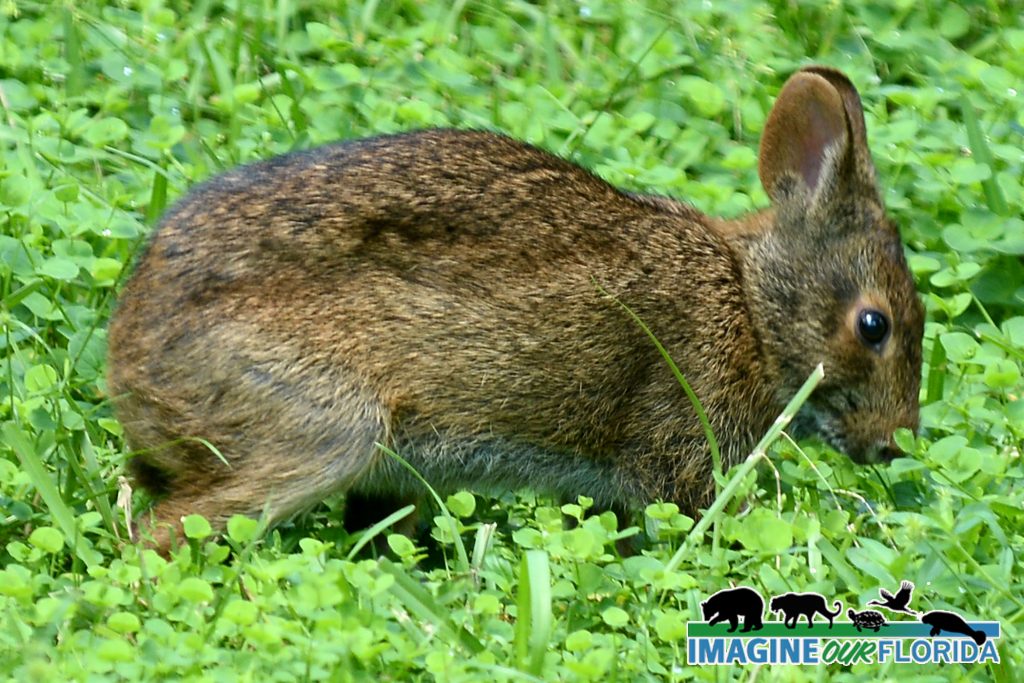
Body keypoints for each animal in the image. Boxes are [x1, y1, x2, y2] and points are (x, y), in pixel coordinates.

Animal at [108, 65, 925, 557]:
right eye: (873, 326)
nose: (895, 443)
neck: (750, 306)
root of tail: (133, 366)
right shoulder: (678, 449)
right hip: (320, 430)